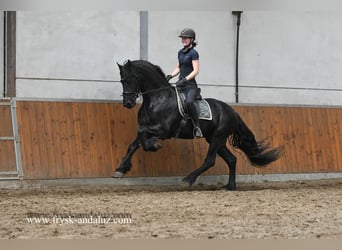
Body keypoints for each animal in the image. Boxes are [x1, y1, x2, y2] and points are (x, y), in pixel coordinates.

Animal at [113, 60, 282, 189]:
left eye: (130, 80)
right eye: (122, 81)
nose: (128, 103)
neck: (157, 98)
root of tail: (232, 111)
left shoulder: (164, 130)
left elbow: (142, 134)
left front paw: (153, 146)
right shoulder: (148, 128)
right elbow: (134, 144)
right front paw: (120, 170)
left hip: (217, 138)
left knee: (210, 160)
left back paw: (187, 180)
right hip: (216, 139)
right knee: (232, 159)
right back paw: (230, 186)